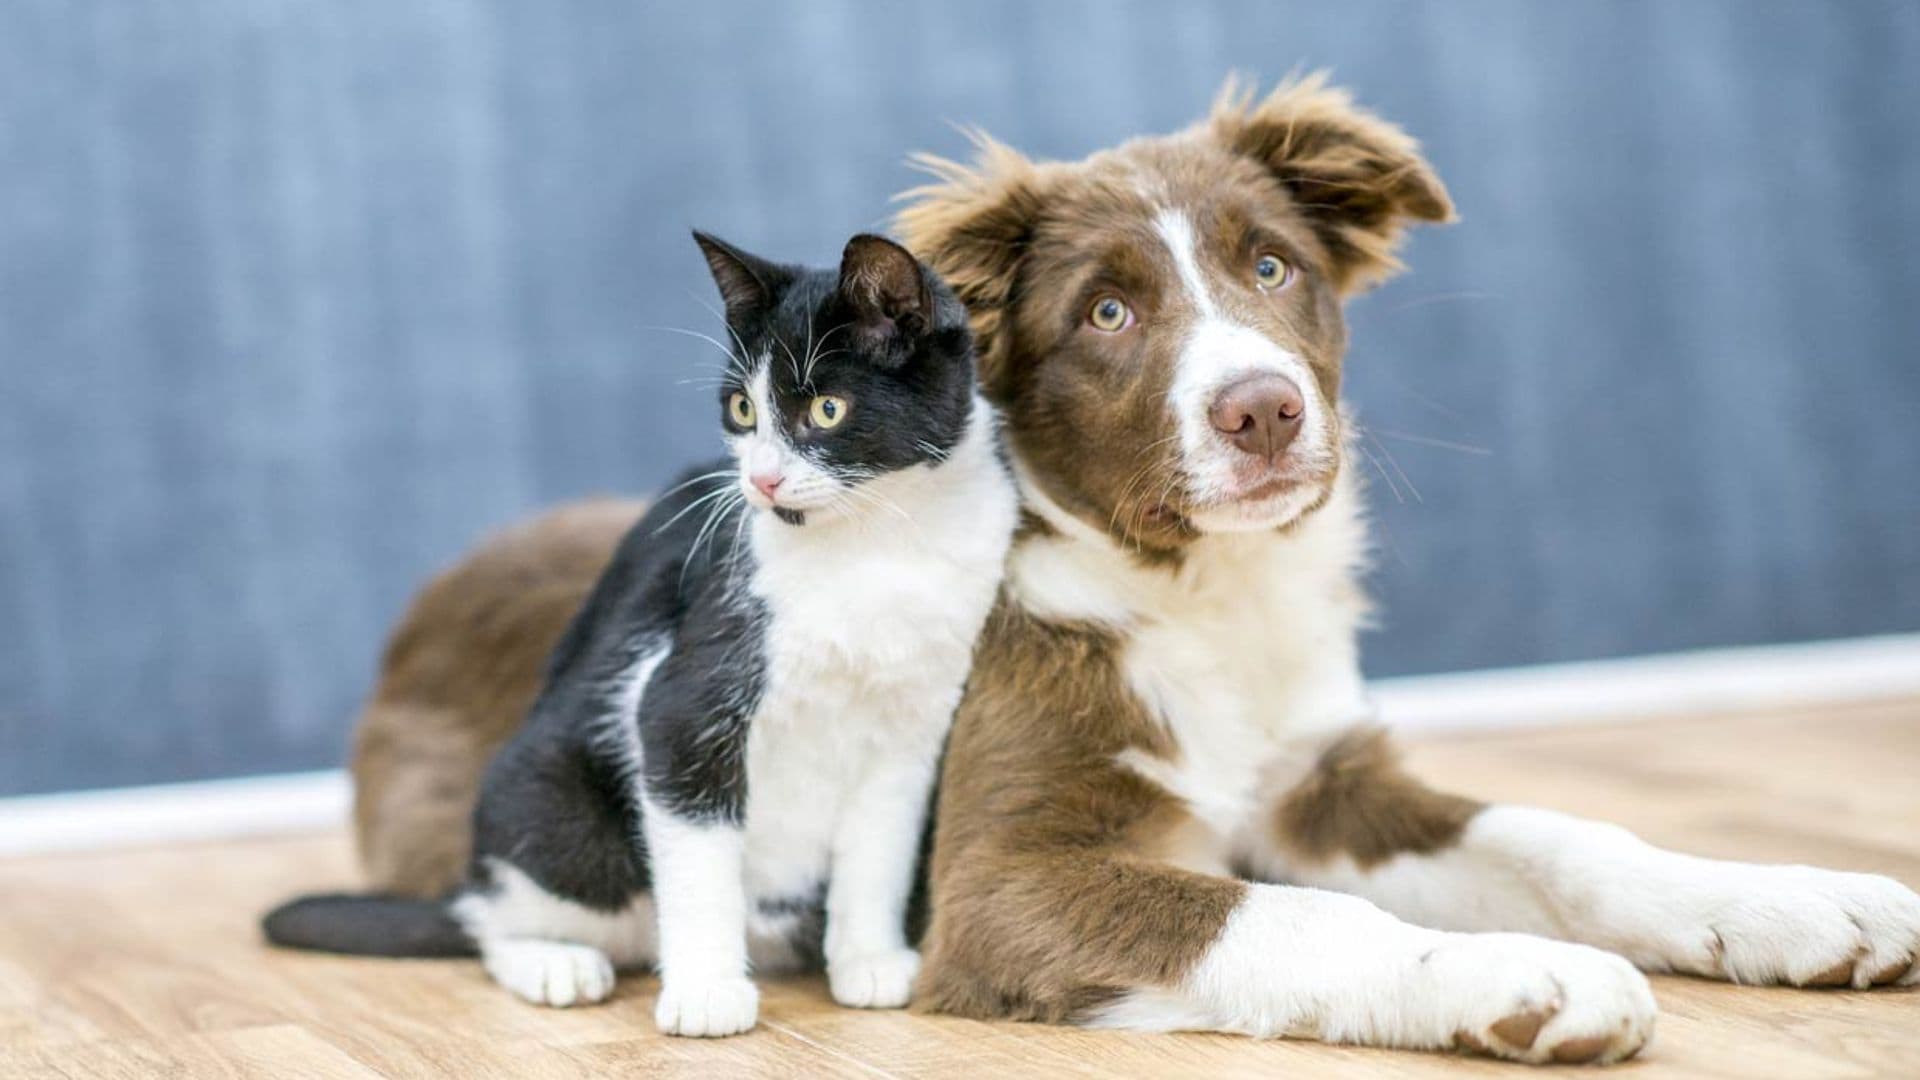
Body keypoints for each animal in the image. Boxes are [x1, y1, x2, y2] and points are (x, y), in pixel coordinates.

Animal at [266, 231, 1036, 1030]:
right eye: (741, 408)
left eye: (827, 409)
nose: (761, 480)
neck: (876, 544)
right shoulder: (680, 698)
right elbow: (698, 853)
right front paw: (706, 992)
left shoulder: (914, 727)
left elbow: (880, 849)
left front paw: (870, 961)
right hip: (555, 809)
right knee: (495, 916)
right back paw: (554, 962)